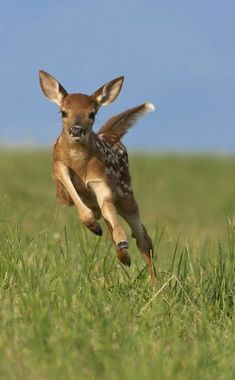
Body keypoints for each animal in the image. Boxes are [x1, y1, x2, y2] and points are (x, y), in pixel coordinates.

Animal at [38, 70, 156, 280]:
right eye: (63, 112)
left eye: (92, 113)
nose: (77, 130)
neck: (79, 162)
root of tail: (111, 135)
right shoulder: (58, 166)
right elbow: (74, 192)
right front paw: (94, 227)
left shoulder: (100, 180)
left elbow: (108, 207)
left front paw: (121, 241)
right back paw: (123, 255)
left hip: (127, 195)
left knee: (144, 239)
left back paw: (152, 279)